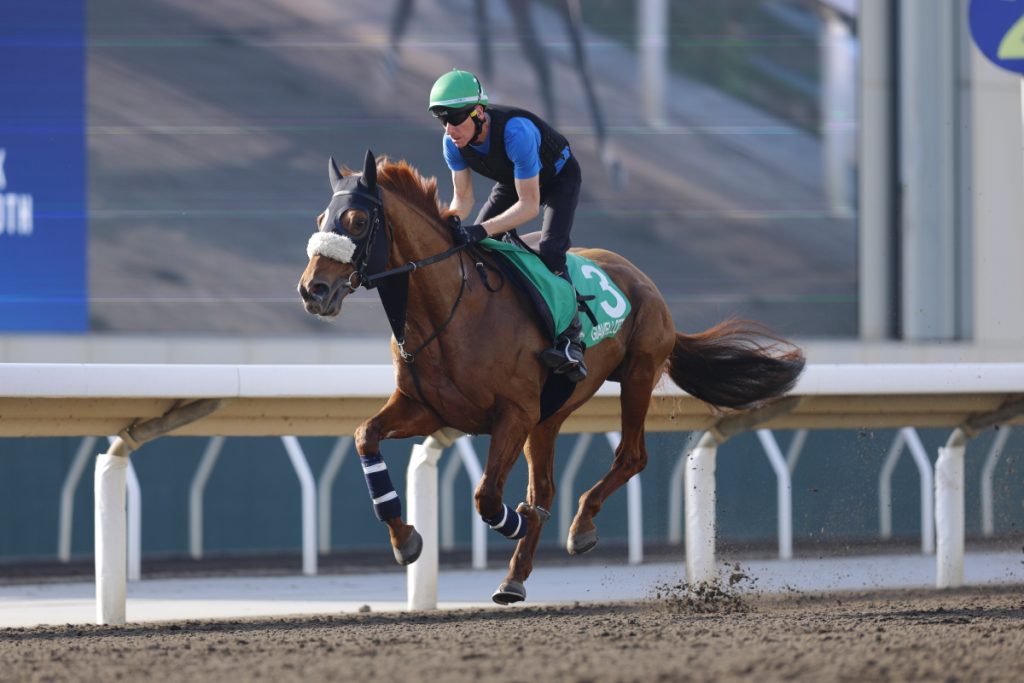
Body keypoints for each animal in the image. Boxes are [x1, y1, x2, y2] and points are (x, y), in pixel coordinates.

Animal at [298, 150, 805, 604]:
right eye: (322, 217)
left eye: (357, 220)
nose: (312, 290)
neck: (450, 309)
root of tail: (643, 280)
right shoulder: (429, 408)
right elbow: (366, 436)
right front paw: (405, 539)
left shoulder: (513, 413)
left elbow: (487, 496)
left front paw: (518, 520)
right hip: (549, 416)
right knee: (546, 485)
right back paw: (514, 577)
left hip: (637, 373)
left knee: (630, 456)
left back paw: (579, 528)